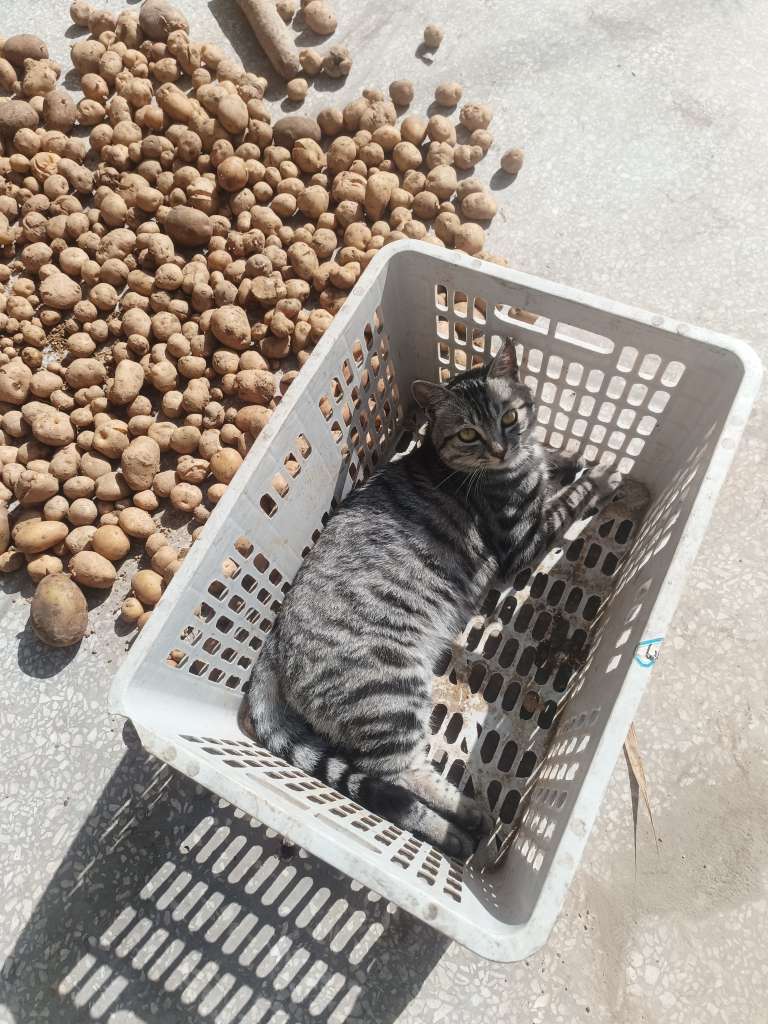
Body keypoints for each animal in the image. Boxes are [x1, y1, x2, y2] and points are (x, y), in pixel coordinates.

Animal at [241, 339, 621, 858]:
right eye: (468, 434)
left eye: (509, 416)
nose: (501, 448)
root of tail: (274, 643)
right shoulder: (525, 539)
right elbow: (569, 500)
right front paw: (605, 475)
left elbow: (553, 458)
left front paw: (570, 457)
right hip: (389, 692)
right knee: (393, 776)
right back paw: (462, 823)